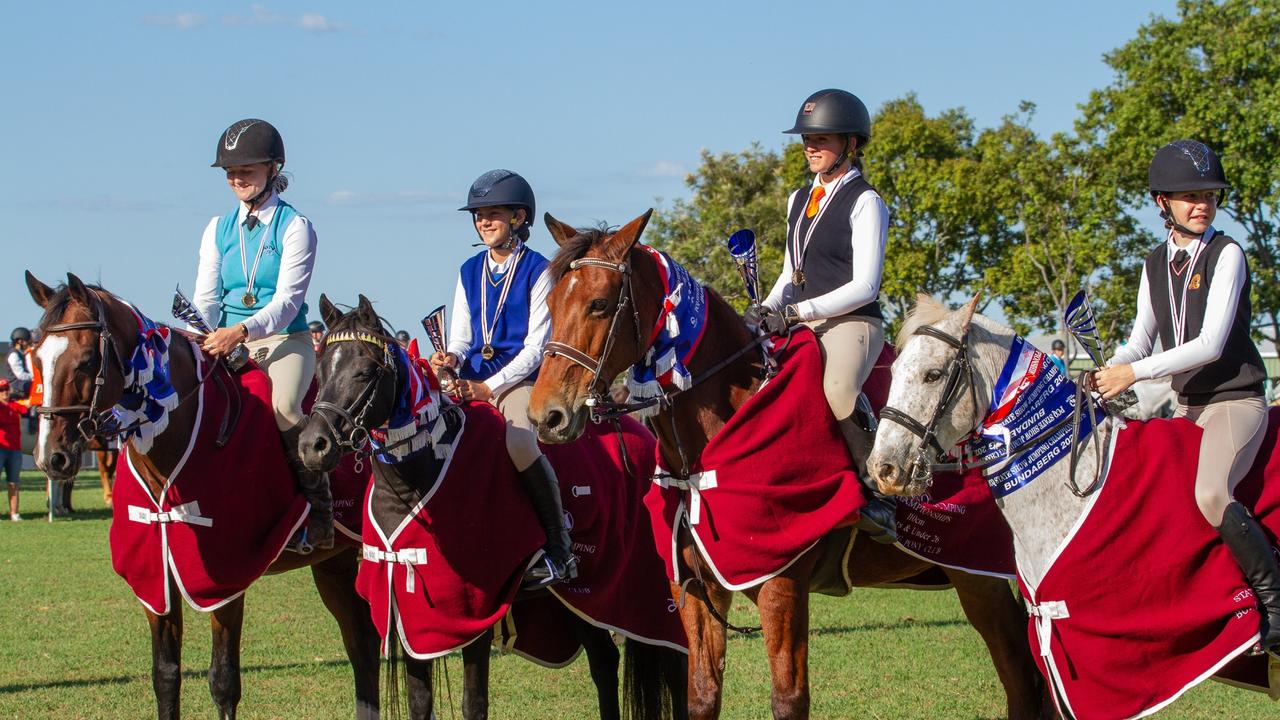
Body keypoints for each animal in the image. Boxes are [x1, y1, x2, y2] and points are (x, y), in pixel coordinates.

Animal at [26, 270, 378, 717]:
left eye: (87, 359)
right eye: (37, 359)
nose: (50, 457)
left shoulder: (225, 580)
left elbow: (223, 681)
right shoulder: (155, 576)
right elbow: (165, 675)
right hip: (335, 562)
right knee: (362, 644)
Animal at [298, 292, 686, 717]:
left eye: (366, 371)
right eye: (320, 369)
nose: (312, 446)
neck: (418, 474)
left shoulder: (476, 613)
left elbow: (474, 703)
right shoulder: (409, 613)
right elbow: (420, 702)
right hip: (584, 598)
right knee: (604, 663)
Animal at [527, 211, 1049, 717]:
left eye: (599, 304)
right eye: (549, 304)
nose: (546, 416)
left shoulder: (781, 586)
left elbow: (789, 699)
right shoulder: (696, 589)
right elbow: (702, 696)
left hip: (981, 576)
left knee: (1022, 679)